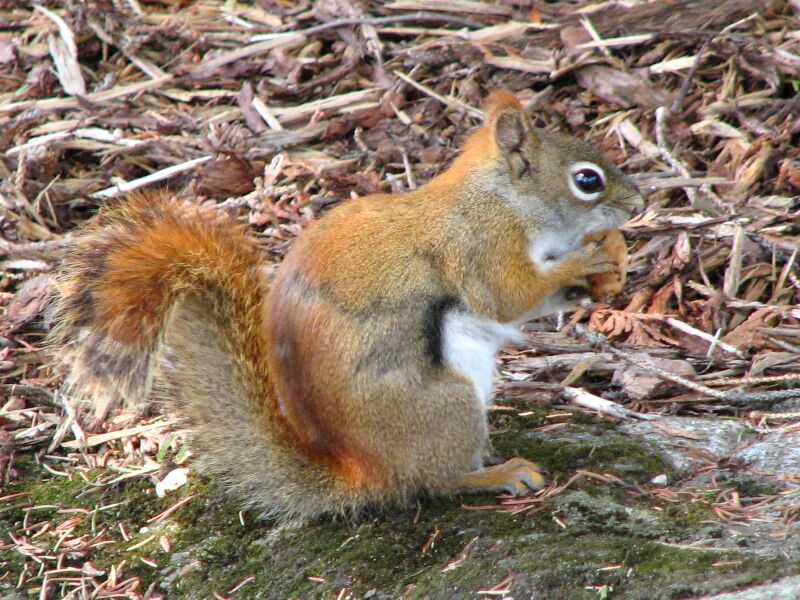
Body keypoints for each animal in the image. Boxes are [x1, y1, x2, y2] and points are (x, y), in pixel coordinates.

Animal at [50, 90, 643, 522]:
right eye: (586, 180)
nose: (636, 203)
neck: (498, 198)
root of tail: (365, 471)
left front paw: (611, 267)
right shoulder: (480, 248)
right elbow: (506, 296)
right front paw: (585, 259)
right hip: (446, 406)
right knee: (434, 482)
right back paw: (496, 474)